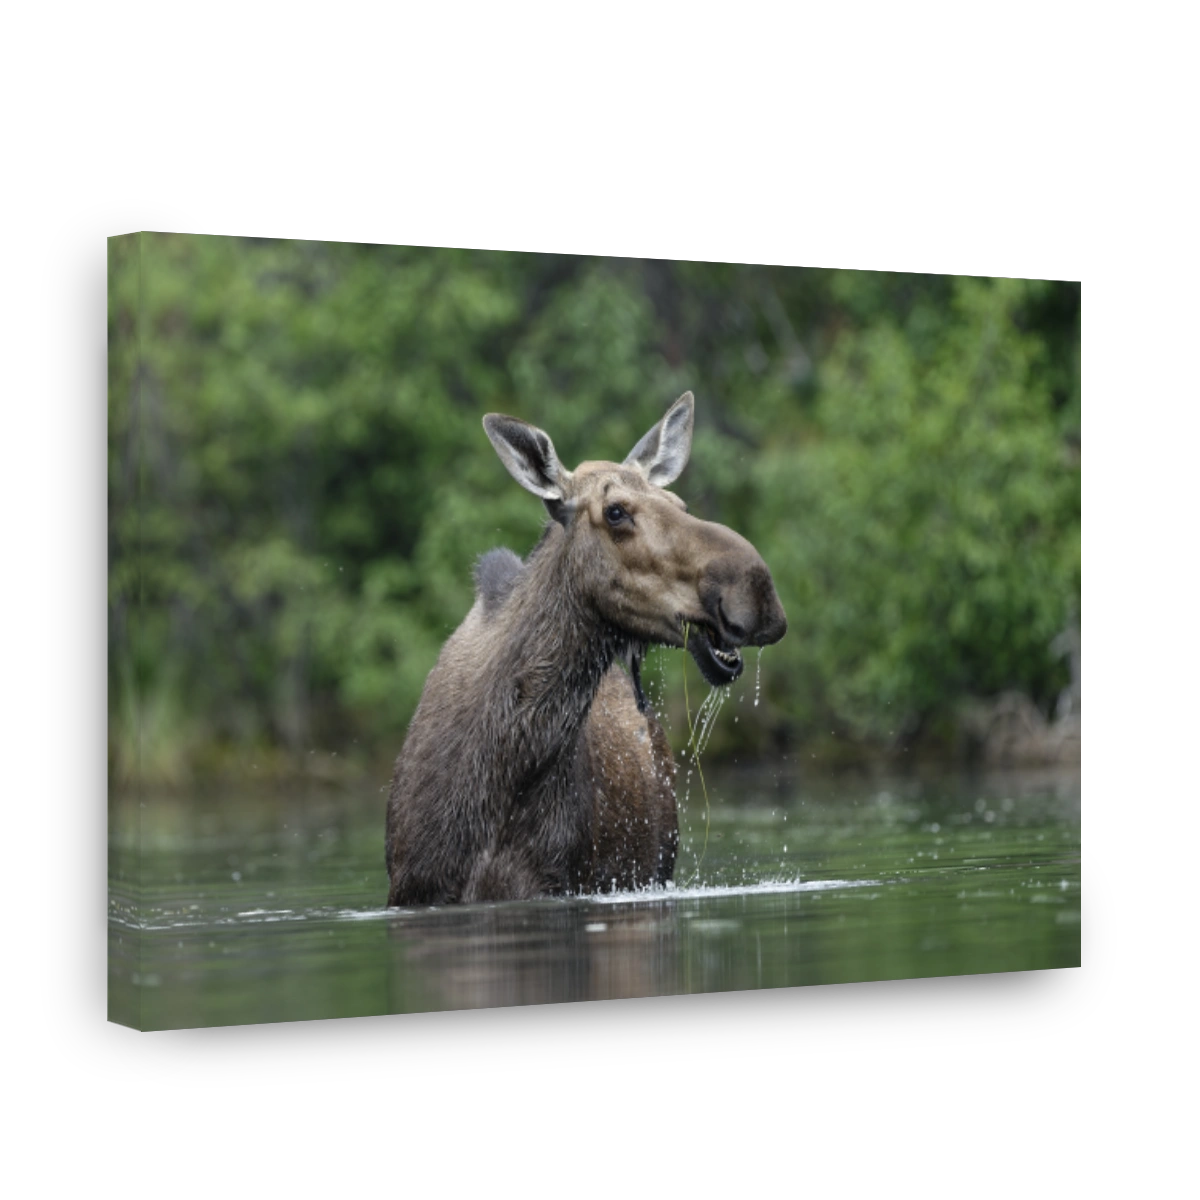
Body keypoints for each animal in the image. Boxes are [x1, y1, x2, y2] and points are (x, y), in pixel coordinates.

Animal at [385, 391, 787, 906]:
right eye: (615, 511)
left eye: (679, 502)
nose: (756, 590)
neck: (504, 769)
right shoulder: (416, 888)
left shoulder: (555, 883)